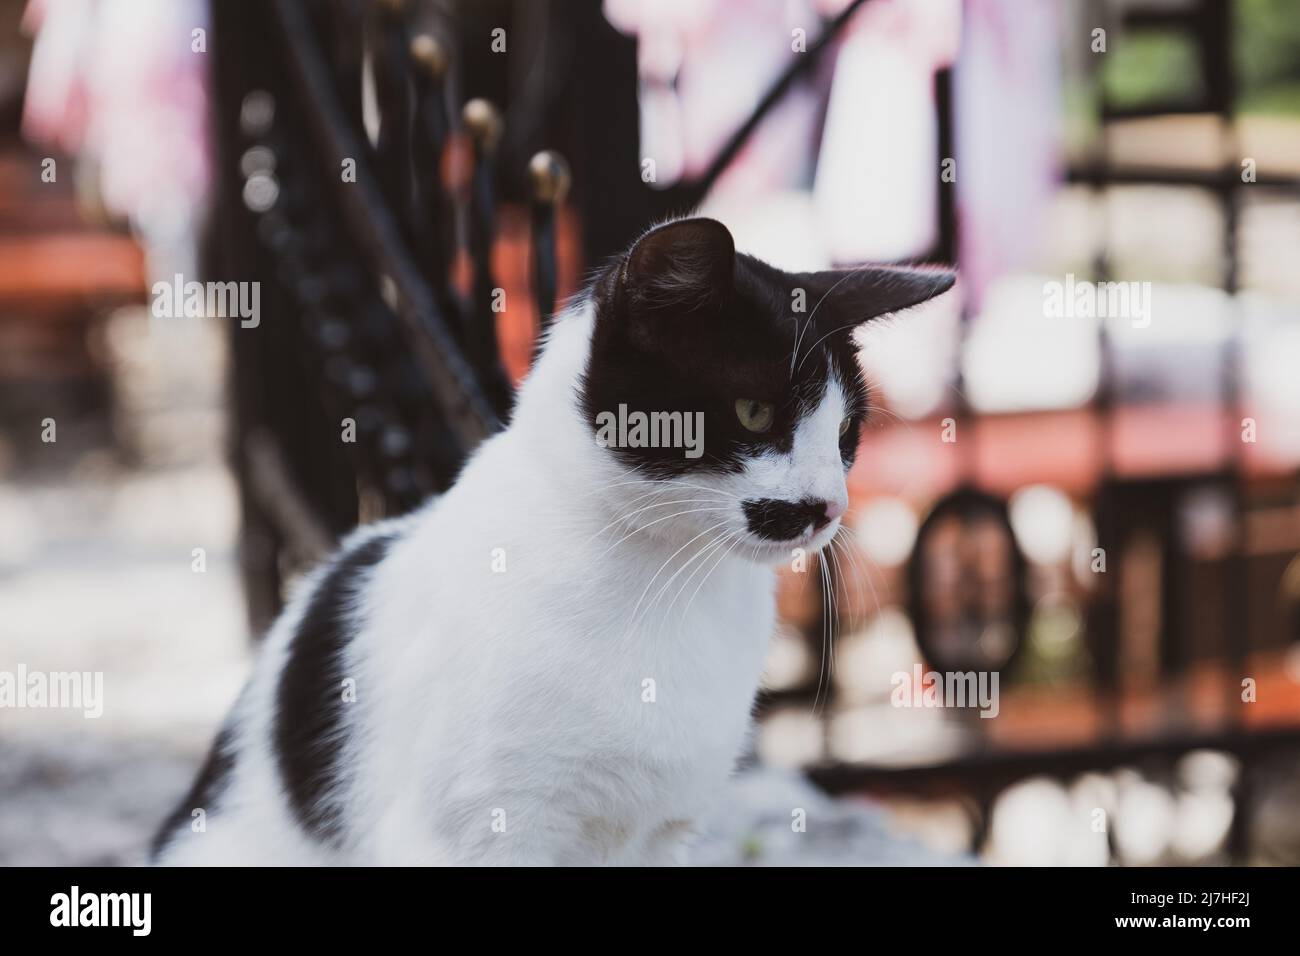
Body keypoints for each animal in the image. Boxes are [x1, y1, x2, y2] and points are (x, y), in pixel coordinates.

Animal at [152, 217, 956, 868]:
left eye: (846, 433)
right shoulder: (473, 832)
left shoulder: (663, 835)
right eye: (755, 412)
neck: (665, 579)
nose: (830, 506)